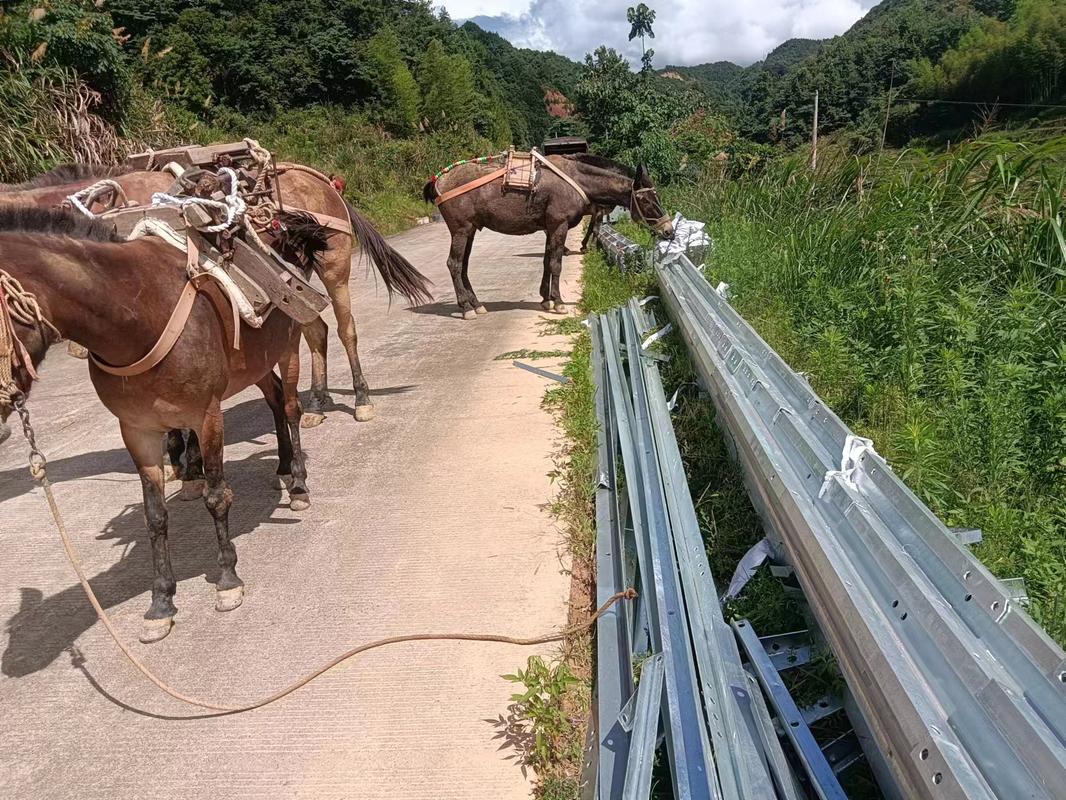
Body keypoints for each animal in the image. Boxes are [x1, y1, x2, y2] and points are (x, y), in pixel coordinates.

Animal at [0, 208, 332, 644]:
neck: (137, 315)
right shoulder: (136, 430)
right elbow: (154, 517)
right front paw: (161, 603)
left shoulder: (206, 416)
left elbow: (216, 497)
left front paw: (228, 580)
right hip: (255, 365)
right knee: (274, 399)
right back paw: (280, 465)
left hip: (288, 349)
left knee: (291, 407)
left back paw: (297, 484)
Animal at [3, 163, 432, 426]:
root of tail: (323, 181)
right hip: (297, 281)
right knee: (316, 332)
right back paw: (316, 403)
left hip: (334, 268)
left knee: (345, 330)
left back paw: (361, 400)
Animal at [420, 153, 669, 320]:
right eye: (647, 200)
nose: (668, 230)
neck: (576, 180)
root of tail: (439, 181)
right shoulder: (559, 226)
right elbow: (556, 264)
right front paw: (558, 302)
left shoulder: (551, 228)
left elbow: (547, 262)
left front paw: (545, 298)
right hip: (461, 230)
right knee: (454, 264)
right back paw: (466, 308)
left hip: (470, 230)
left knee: (463, 266)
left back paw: (476, 303)